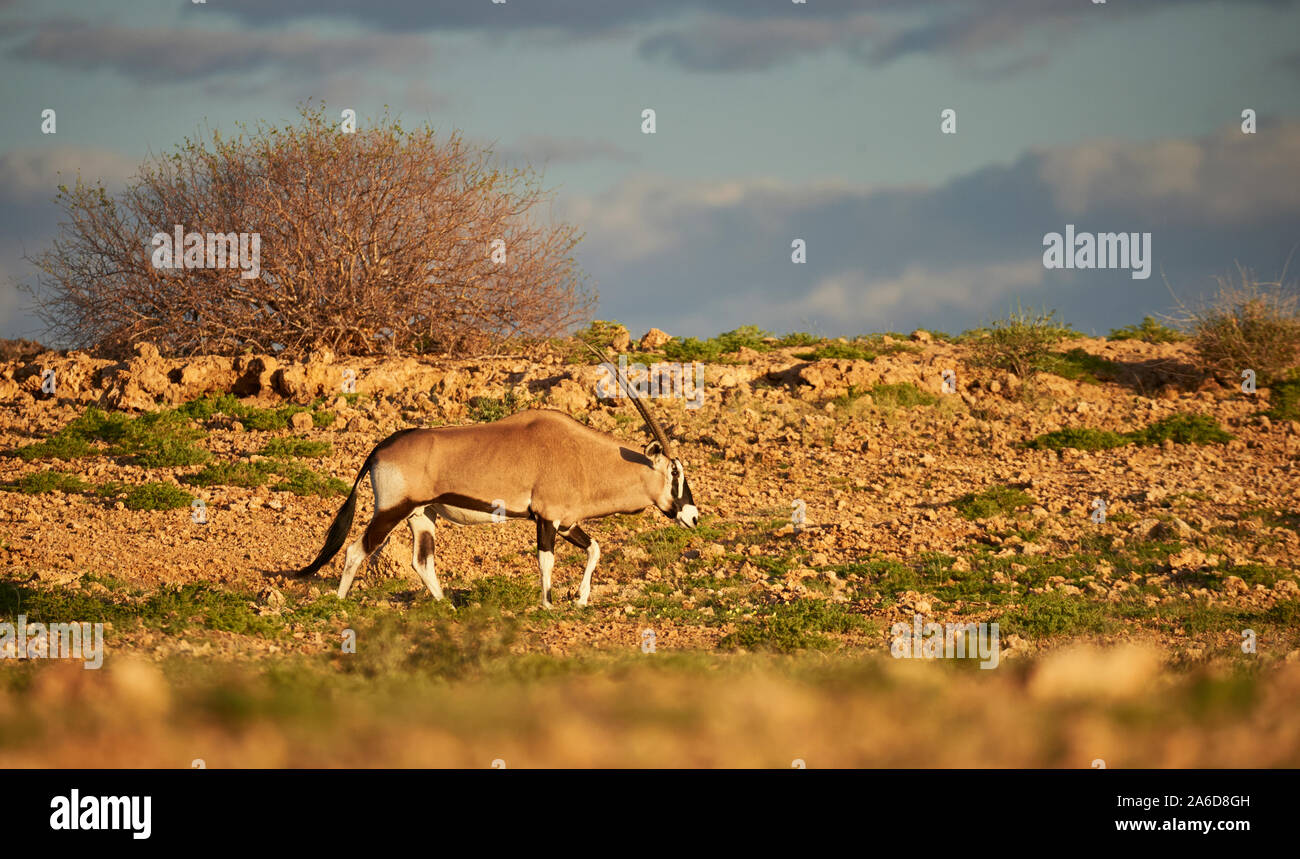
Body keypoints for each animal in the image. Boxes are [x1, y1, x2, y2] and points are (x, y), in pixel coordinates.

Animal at [296, 371, 702, 605]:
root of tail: (381, 448)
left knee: (421, 561)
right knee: (355, 550)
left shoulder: (567, 522)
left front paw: (582, 599)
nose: (694, 517)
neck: (580, 454)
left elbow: (595, 550)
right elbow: (546, 561)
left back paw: (444, 606)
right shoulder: (547, 520)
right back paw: (339, 603)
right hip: (391, 511)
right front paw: (548, 604)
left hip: (422, 515)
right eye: (675, 472)